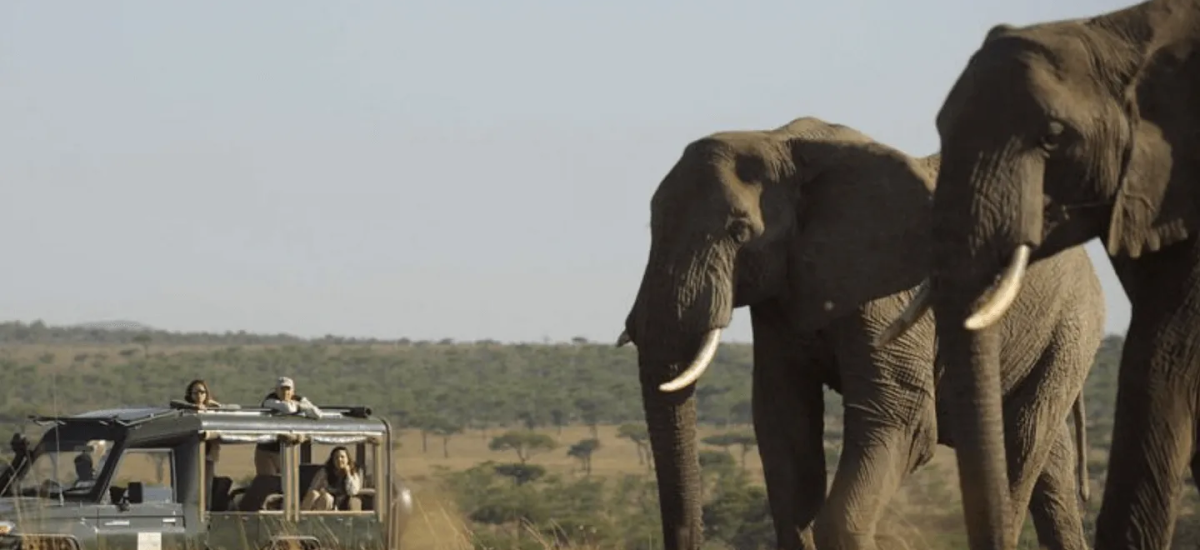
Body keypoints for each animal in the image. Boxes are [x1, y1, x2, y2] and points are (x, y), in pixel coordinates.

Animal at [616, 116, 1104, 550]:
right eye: (651, 225)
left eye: (739, 231)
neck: (778, 143)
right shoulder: (782, 293)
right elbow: (784, 422)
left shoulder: (890, 285)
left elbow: (900, 417)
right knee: (1050, 467)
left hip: (1070, 324)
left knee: (1020, 445)